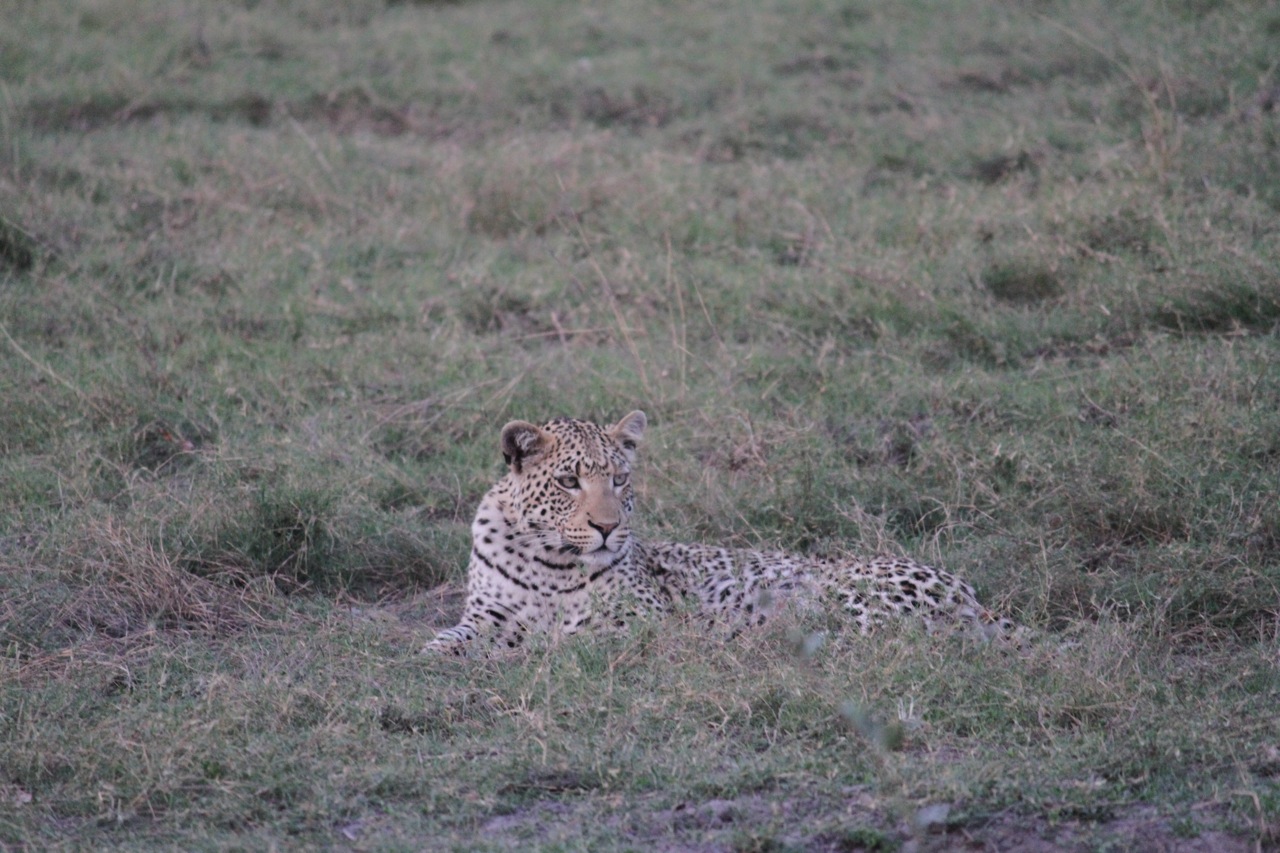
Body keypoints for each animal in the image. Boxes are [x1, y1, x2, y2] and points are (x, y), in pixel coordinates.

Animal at [422, 409, 1008, 653]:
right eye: (568, 481)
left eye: (619, 478)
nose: (608, 527)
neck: (549, 560)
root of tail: (975, 598)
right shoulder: (488, 615)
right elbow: (450, 639)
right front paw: (443, 652)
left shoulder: (638, 619)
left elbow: (572, 641)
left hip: (844, 598)